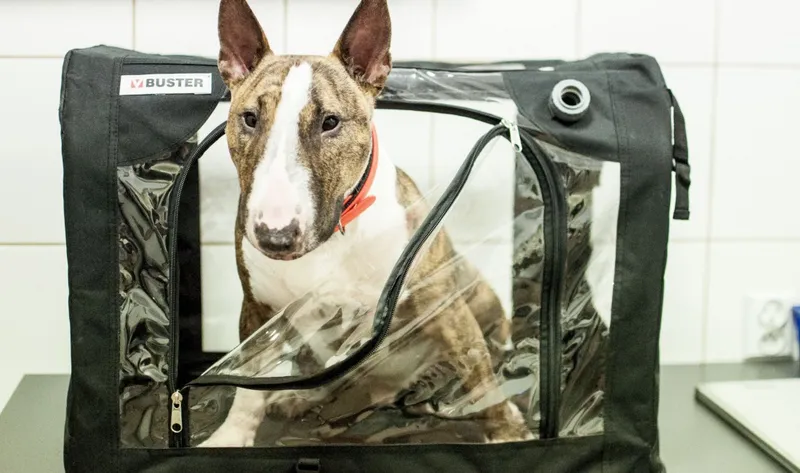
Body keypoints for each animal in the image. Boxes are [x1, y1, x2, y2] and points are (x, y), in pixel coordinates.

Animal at [197, 0, 532, 446]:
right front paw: (232, 435)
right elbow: (249, 382)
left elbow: (477, 372)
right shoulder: (257, 309)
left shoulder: (442, 305)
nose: (275, 237)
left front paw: (508, 432)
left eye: (330, 122)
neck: (333, 237)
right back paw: (302, 399)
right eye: (249, 118)